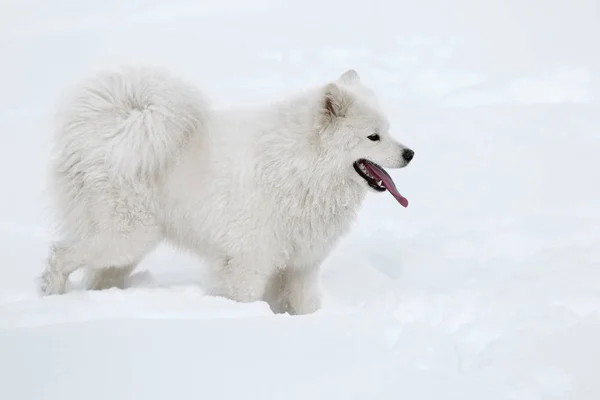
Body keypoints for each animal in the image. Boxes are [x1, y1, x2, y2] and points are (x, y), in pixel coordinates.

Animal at [39, 67, 414, 314]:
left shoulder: (300, 267)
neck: (300, 164)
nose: (410, 153)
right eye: (373, 137)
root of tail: (105, 127)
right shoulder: (247, 261)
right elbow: (243, 298)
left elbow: (303, 305)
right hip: (125, 237)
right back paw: (51, 293)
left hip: (128, 249)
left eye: (388, 130)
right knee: (59, 253)